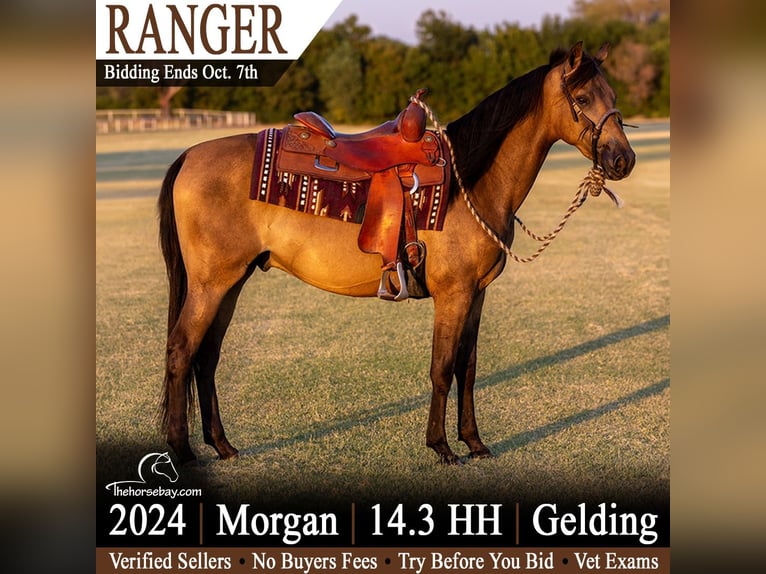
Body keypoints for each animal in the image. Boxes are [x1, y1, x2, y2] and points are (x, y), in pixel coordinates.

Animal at [157, 41, 635, 466]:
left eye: (613, 97)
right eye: (583, 98)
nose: (623, 160)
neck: (471, 182)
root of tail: (189, 155)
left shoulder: (477, 294)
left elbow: (468, 368)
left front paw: (475, 443)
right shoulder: (454, 295)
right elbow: (442, 368)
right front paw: (442, 447)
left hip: (232, 282)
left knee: (207, 357)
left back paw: (223, 446)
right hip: (211, 284)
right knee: (182, 351)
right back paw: (183, 451)